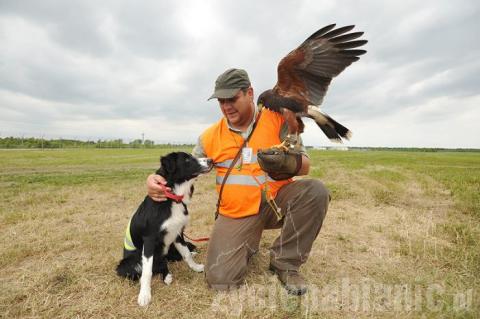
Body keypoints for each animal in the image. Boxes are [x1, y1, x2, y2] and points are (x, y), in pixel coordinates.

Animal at [116, 152, 212, 308]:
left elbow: (186, 254)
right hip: (125, 265)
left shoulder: (178, 233)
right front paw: (144, 295)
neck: (172, 198)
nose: (211, 160)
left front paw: (195, 267)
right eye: (187, 159)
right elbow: (147, 271)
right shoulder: (150, 239)